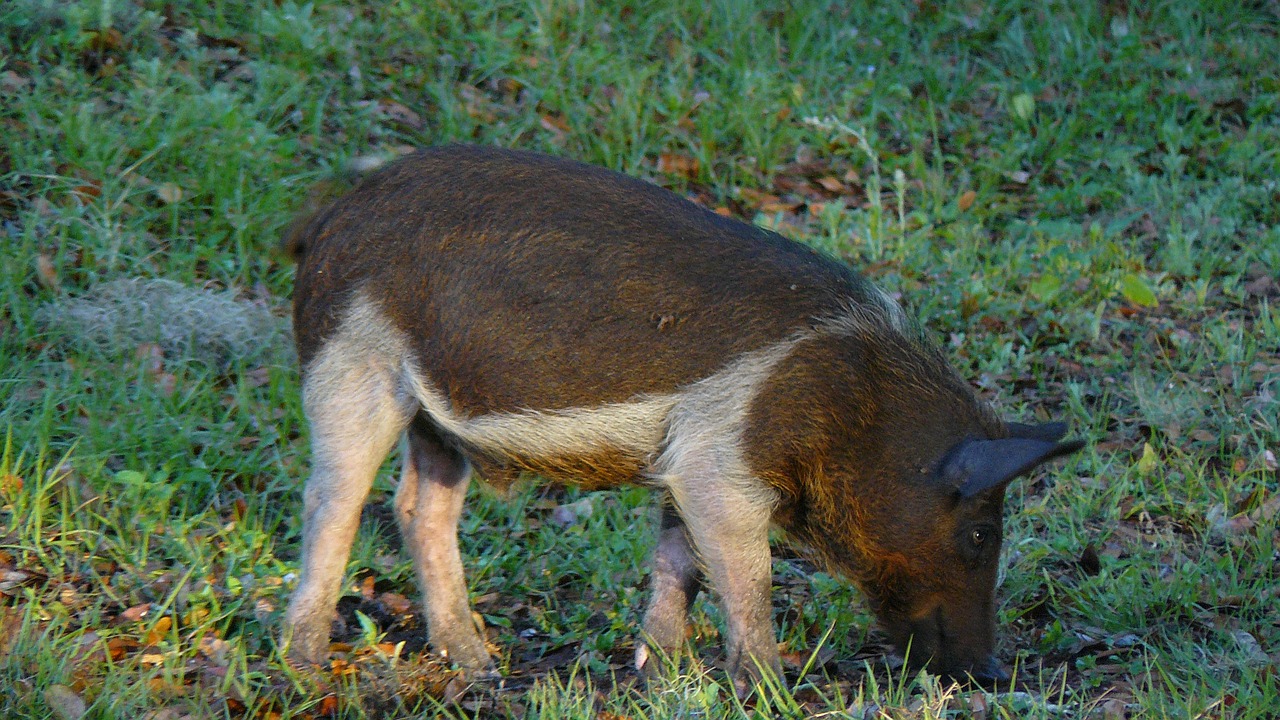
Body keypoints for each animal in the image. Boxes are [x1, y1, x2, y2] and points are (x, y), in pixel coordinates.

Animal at [280, 142, 1080, 686]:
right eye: (980, 533)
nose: (991, 671)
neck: (863, 412)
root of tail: (332, 215)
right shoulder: (717, 466)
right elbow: (748, 578)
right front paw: (772, 688)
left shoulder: (679, 461)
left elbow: (678, 564)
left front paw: (659, 675)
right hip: (351, 364)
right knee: (332, 500)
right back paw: (308, 663)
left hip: (434, 420)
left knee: (421, 508)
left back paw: (480, 665)